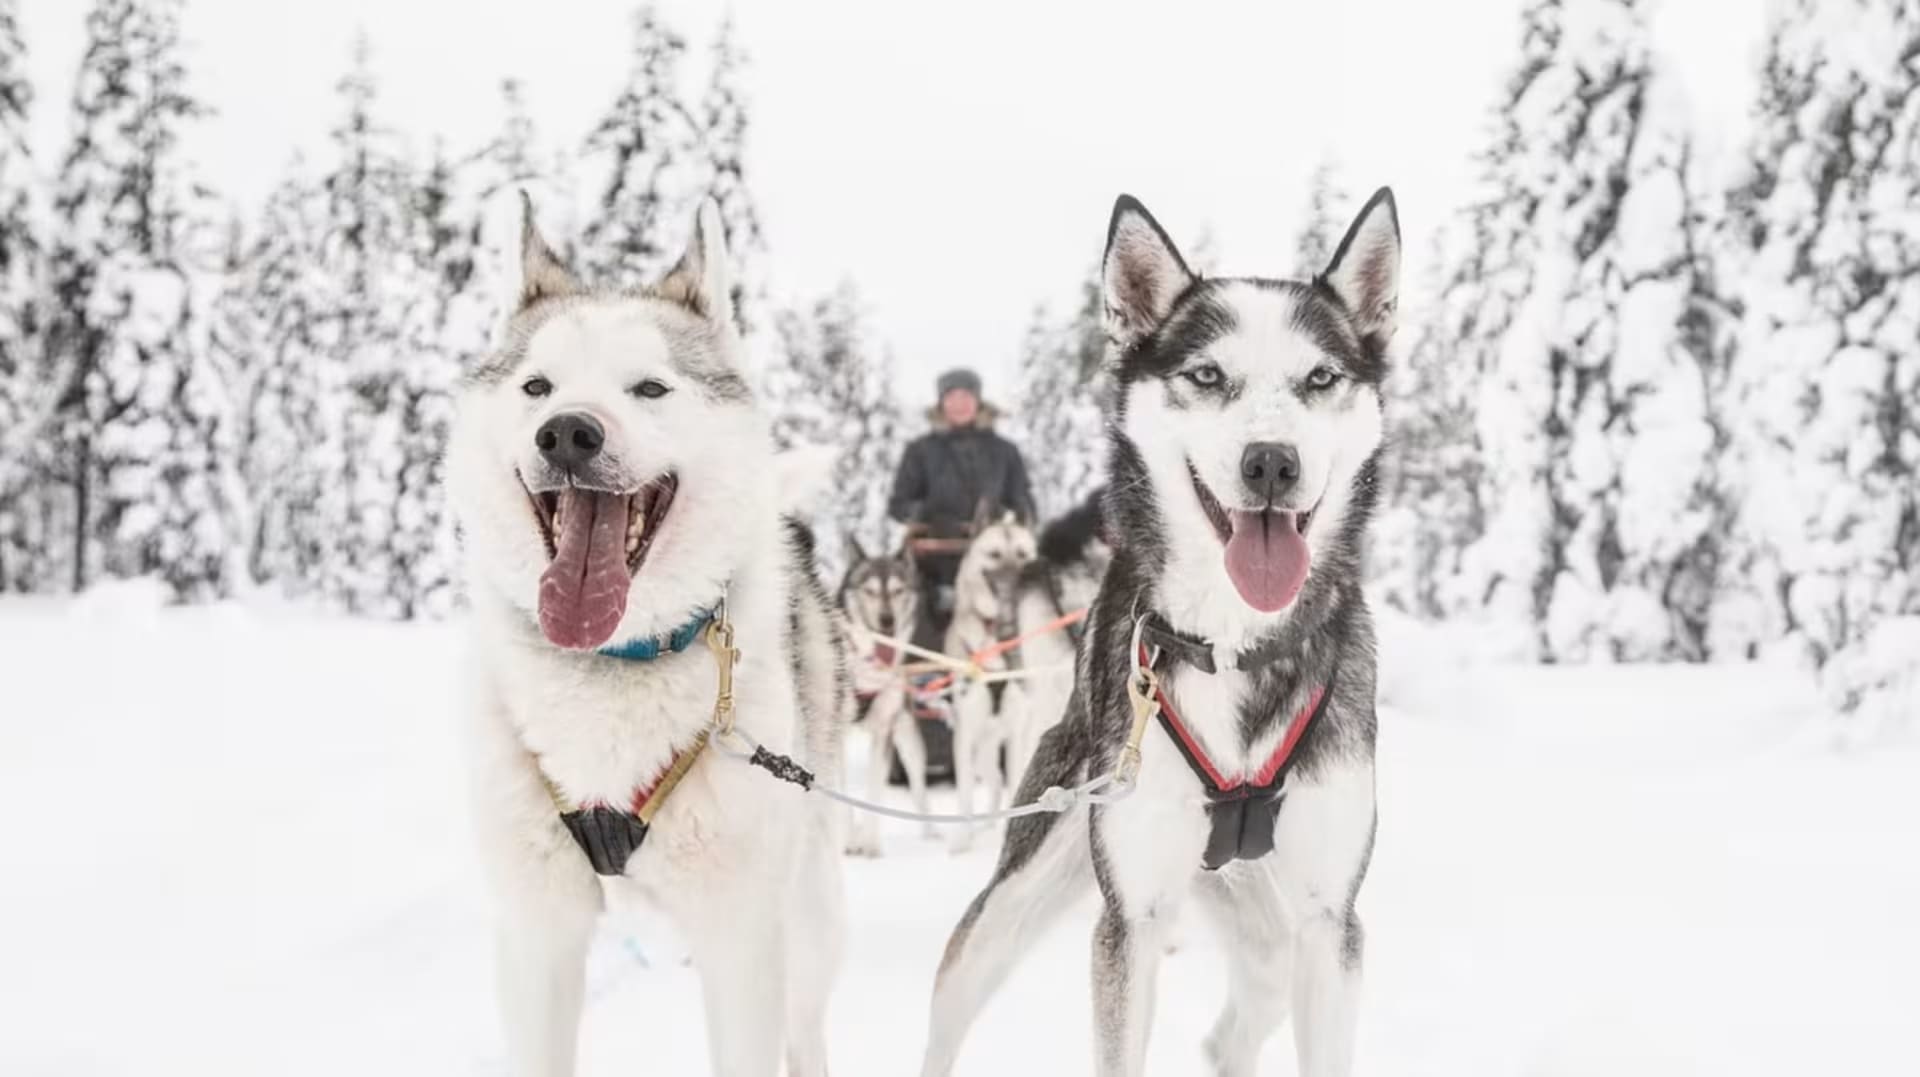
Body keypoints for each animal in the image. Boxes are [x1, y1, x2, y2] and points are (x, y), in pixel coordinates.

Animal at [913, 187, 1397, 1075]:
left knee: (1227, 1035)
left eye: (1320, 377)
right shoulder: (1128, 923)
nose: (1271, 462)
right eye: (1207, 375)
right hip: (1009, 907)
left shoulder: (1328, 922)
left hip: (1273, 948)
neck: (1237, 643)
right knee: (950, 1010)